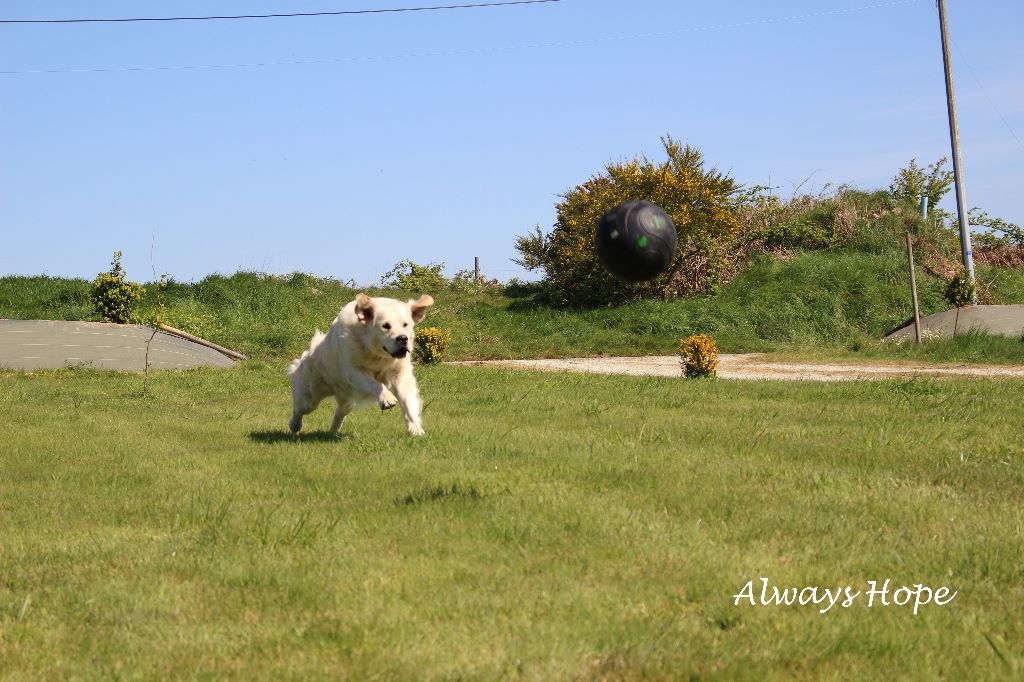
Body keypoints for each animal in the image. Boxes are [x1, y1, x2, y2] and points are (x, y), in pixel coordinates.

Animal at [286, 292, 434, 436]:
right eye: (385, 326)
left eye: (406, 324)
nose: (403, 338)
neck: (377, 355)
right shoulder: (354, 373)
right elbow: (374, 383)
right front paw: (386, 398)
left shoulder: (401, 375)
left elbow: (408, 404)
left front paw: (416, 430)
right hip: (311, 395)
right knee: (299, 409)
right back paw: (294, 425)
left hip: (346, 399)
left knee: (340, 412)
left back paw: (332, 432)